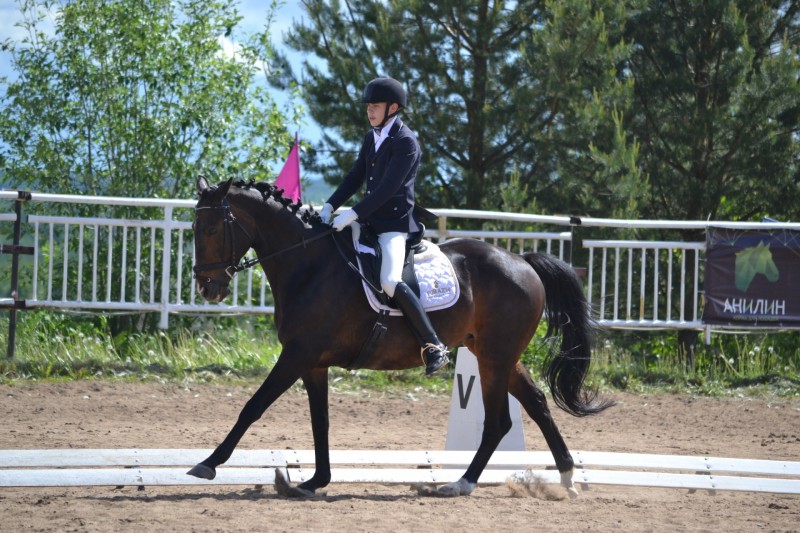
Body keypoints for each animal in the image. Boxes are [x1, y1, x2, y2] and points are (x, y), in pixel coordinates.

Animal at [186, 177, 612, 496]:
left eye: (212, 228)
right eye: (194, 228)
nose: (208, 287)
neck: (309, 264)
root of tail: (522, 262)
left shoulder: (297, 354)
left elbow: (253, 406)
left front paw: (207, 464)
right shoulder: (312, 363)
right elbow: (320, 421)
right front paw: (315, 480)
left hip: (495, 356)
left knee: (498, 421)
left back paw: (462, 483)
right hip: (497, 354)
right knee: (537, 404)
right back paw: (567, 478)